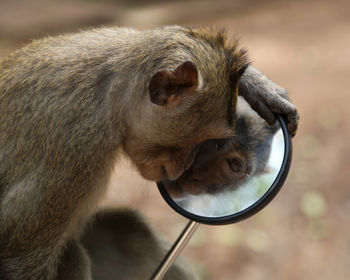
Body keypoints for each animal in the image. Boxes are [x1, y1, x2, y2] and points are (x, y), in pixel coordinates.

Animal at [0, 25, 298, 278]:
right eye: (207, 142)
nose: (182, 171)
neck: (109, 101)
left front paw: (259, 86)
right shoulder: (72, 155)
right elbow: (19, 258)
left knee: (128, 228)